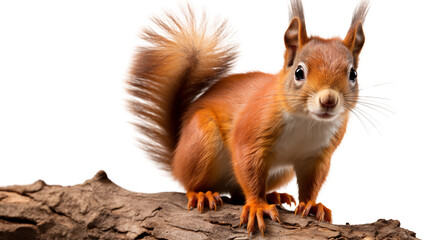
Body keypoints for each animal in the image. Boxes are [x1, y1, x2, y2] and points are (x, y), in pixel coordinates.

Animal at [127, 0, 368, 236]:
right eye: (299, 72)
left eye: (353, 74)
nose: (328, 100)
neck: (308, 121)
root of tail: (176, 156)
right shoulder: (252, 129)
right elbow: (248, 165)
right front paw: (257, 206)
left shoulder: (317, 156)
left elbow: (312, 182)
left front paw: (311, 204)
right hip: (200, 140)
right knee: (192, 182)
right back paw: (202, 194)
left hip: (280, 172)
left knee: (237, 193)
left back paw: (273, 195)